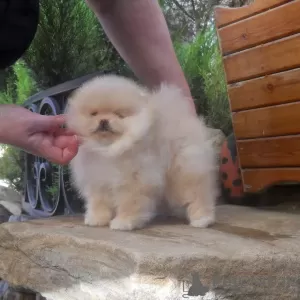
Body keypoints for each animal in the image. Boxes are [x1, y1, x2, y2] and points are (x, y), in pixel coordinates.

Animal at [65, 74, 218, 230]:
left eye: (119, 115)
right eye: (94, 114)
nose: (103, 121)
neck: (108, 149)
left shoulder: (134, 180)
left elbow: (129, 203)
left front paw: (124, 222)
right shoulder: (97, 180)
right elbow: (99, 202)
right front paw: (97, 218)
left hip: (182, 171)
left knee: (197, 194)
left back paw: (202, 219)